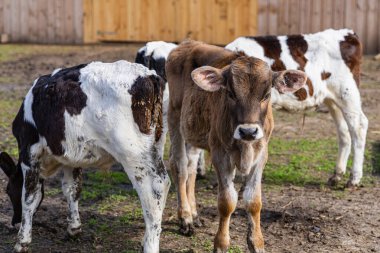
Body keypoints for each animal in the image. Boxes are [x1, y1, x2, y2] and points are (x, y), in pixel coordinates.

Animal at [0, 60, 171, 252]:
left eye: (7, 189)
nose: (14, 222)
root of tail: (149, 76)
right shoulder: (70, 156)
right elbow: (72, 189)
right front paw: (74, 228)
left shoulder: (29, 152)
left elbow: (29, 196)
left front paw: (22, 240)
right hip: (156, 144)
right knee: (163, 184)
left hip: (133, 153)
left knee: (155, 188)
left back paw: (150, 244)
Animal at [168, 40, 308, 252]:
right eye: (230, 94)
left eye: (266, 95)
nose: (248, 131)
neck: (245, 148)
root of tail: (188, 43)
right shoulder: (220, 154)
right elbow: (227, 202)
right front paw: (221, 244)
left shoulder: (261, 154)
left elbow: (254, 201)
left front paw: (256, 242)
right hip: (175, 118)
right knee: (180, 168)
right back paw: (185, 218)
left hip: (194, 132)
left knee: (191, 170)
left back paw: (194, 214)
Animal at [226, 28, 368, 187]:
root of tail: (348, 33)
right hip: (332, 99)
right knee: (344, 131)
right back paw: (337, 175)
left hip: (347, 93)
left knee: (359, 126)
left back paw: (354, 178)